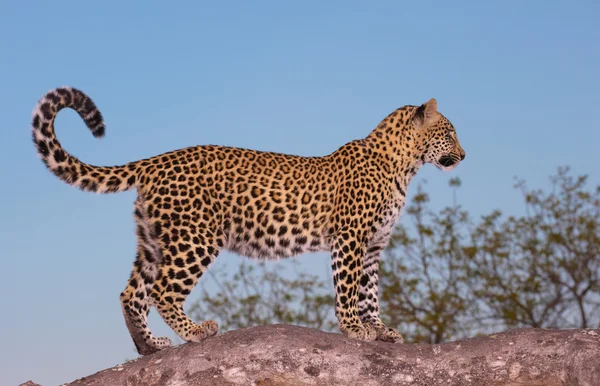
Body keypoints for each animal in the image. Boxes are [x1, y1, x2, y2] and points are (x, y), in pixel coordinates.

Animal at [30, 86, 466, 354]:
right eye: (450, 132)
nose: (464, 156)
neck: (404, 165)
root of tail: (156, 160)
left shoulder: (373, 247)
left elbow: (370, 292)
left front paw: (381, 329)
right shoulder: (350, 239)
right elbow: (347, 290)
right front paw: (354, 329)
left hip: (155, 240)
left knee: (131, 293)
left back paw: (151, 346)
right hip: (196, 238)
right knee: (162, 291)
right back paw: (196, 332)